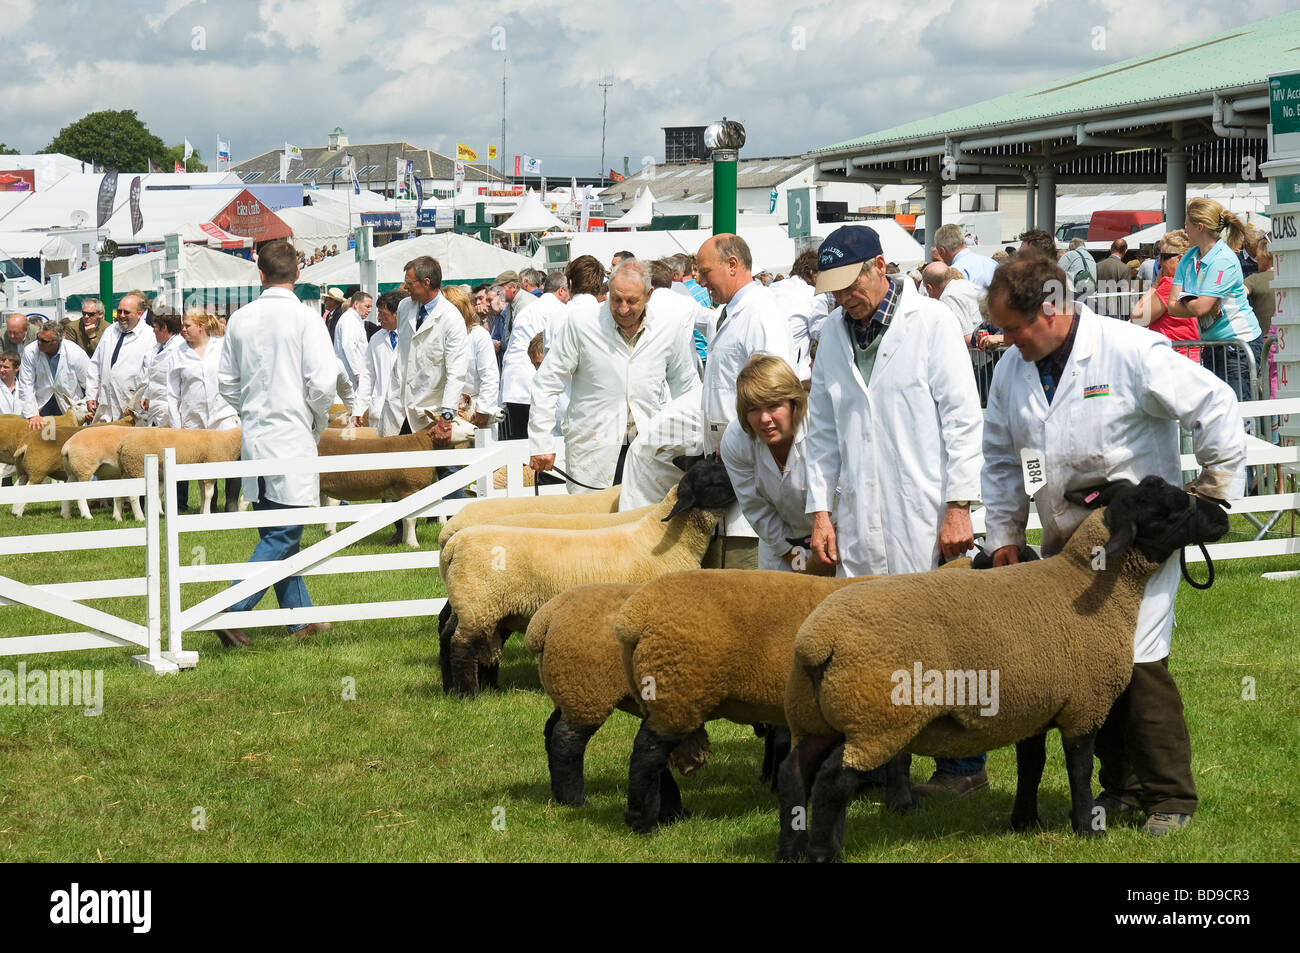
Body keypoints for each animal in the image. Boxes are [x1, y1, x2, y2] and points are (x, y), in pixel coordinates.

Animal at [438, 456, 736, 697]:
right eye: (716, 481)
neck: (665, 535)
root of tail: (453, 540)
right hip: (479, 603)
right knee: (461, 646)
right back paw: (468, 693)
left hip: (478, 604)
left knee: (449, 634)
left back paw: (454, 687)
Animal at [777, 477, 1231, 862]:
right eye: (1167, 508)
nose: (1224, 514)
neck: (1088, 583)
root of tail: (820, 639)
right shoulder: (1084, 705)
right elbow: (1080, 770)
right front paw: (1087, 828)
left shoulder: (1036, 704)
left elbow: (1031, 765)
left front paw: (1024, 822)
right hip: (875, 719)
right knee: (833, 782)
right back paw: (824, 853)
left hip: (815, 718)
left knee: (794, 774)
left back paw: (791, 849)